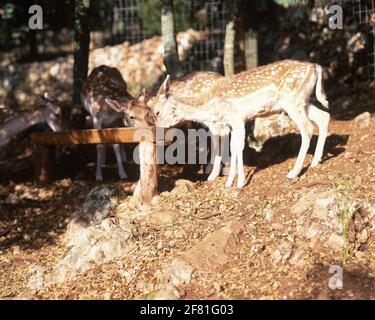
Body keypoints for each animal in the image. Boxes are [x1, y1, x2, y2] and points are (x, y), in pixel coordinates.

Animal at [151, 60, 330, 188]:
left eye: (156, 112)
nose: (158, 136)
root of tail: (315, 67)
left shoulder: (236, 118)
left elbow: (235, 147)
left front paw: (238, 182)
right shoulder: (231, 123)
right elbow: (233, 146)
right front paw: (231, 181)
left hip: (292, 100)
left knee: (307, 128)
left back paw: (293, 172)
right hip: (303, 101)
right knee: (324, 116)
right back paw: (315, 162)